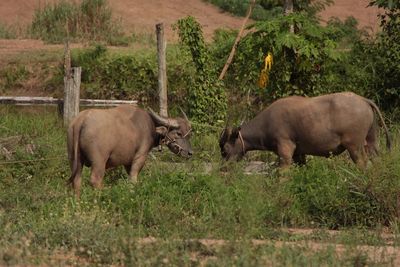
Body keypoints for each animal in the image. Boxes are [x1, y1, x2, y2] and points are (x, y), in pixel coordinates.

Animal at [219, 92, 390, 168]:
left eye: (225, 149)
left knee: (362, 163)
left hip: (354, 146)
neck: (267, 122)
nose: (224, 167)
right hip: (371, 142)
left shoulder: (285, 150)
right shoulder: (299, 155)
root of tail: (363, 100)